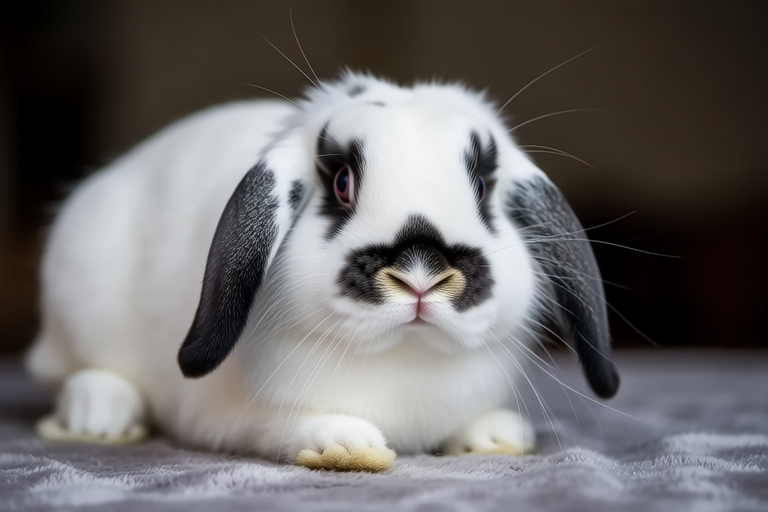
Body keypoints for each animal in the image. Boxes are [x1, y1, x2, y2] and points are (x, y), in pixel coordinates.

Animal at [26, 71, 619, 472]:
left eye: (479, 187)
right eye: (341, 183)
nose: (421, 275)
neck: (403, 359)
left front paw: (496, 435)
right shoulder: (226, 417)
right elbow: (278, 426)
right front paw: (346, 444)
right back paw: (98, 415)